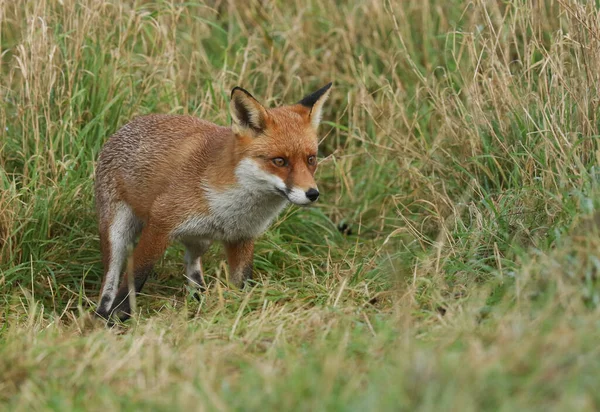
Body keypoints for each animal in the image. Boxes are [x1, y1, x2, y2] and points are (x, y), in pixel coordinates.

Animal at [94, 83, 332, 322]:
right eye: (280, 161)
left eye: (311, 159)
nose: (312, 193)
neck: (232, 208)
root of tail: (125, 126)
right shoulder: (159, 224)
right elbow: (136, 275)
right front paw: (116, 315)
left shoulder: (242, 237)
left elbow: (242, 283)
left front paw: (239, 308)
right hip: (117, 232)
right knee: (110, 277)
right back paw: (102, 311)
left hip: (200, 240)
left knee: (191, 262)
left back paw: (199, 296)